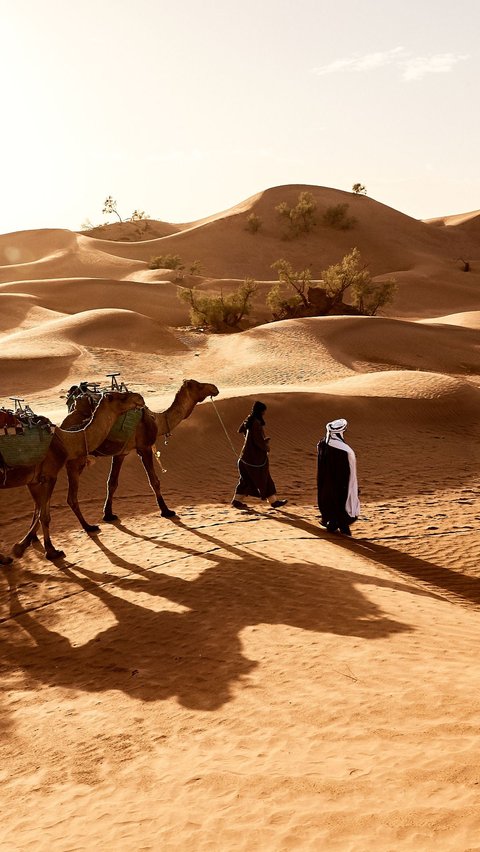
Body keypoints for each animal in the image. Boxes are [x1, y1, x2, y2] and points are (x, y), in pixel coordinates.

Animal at [4, 392, 144, 564]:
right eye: (121, 397)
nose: (139, 398)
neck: (65, 441)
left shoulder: (34, 480)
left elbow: (38, 510)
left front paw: (25, 544)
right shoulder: (50, 475)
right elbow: (45, 515)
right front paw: (50, 551)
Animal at [63, 378, 219, 528]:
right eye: (198, 385)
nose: (215, 388)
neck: (158, 420)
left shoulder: (121, 453)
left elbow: (112, 483)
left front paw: (108, 514)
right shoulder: (145, 447)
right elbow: (154, 481)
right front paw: (166, 511)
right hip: (76, 459)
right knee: (71, 496)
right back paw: (88, 527)